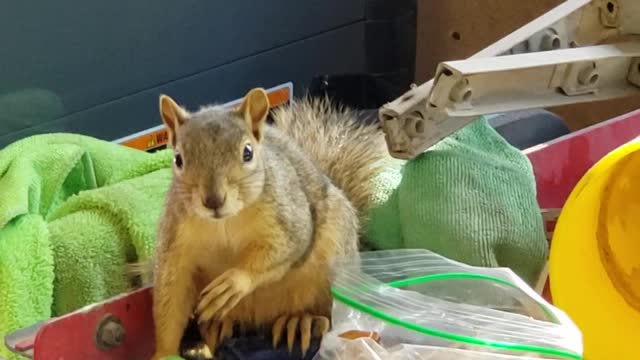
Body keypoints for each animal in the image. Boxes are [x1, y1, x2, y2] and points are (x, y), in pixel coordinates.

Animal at [146, 88, 384, 360]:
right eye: (178, 159)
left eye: (247, 152)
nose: (213, 201)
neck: (223, 223)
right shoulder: (174, 244)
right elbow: (170, 298)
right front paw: (164, 352)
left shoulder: (288, 219)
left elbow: (284, 249)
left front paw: (234, 282)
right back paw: (217, 326)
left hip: (334, 266)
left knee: (328, 313)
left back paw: (302, 321)